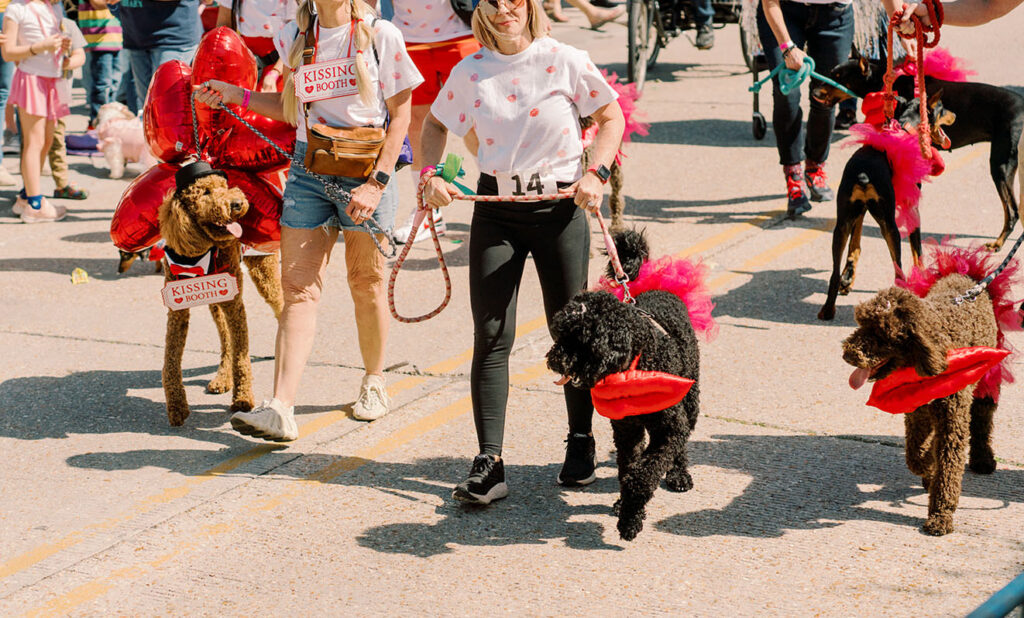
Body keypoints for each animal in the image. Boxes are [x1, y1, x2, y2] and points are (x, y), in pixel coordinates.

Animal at [157, 161, 282, 427]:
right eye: (205, 192)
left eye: (224, 186)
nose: (237, 203)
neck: (199, 252)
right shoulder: (177, 308)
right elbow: (170, 358)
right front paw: (176, 407)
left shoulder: (235, 303)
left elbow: (241, 356)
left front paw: (243, 399)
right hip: (216, 301)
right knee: (225, 339)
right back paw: (222, 378)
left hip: (263, 272)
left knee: (282, 306)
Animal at [544, 230, 704, 540]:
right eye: (561, 332)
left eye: (578, 338)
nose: (553, 360)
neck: (638, 363)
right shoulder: (627, 430)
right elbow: (629, 469)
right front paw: (626, 507)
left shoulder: (668, 430)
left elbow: (644, 475)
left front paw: (630, 518)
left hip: (690, 399)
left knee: (682, 441)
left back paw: (679, 474)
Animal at [815, 51, 1024, 250]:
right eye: (832, 73)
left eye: (838, 76)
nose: (814, 92)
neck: (882, 84)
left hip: (1001, 164)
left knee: (1013, 211)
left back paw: (998, 243)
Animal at [819, 95, 954, 323]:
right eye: (942, 108)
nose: (954, 115)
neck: (906, 126)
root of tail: (863, 174)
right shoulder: (912, 209)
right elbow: (917, 252)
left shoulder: (858, 213)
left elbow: (855, 245)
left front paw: (849, 277)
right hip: (889, 226)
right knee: (897, 269)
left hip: (842, 225)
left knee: (834, 272)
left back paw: (828, 308)